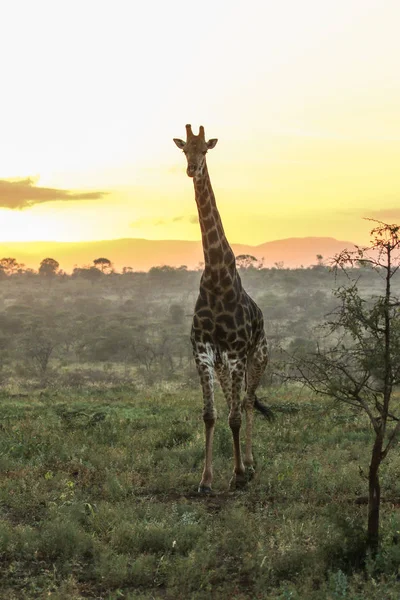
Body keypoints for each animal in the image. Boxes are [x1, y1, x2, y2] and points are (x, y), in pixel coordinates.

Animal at [173, 123, 272, 492]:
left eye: (205, 150)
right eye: (185, 149)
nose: (192, 169)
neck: (217, 277)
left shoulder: (237, 353)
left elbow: (234, 414)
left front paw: (239, 474)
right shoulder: (203, 351)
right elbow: (210, 414)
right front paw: (206, 479)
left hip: (258, 358)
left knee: (246, 402)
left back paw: (251, 464)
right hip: (224, 365)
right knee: (233, 401)